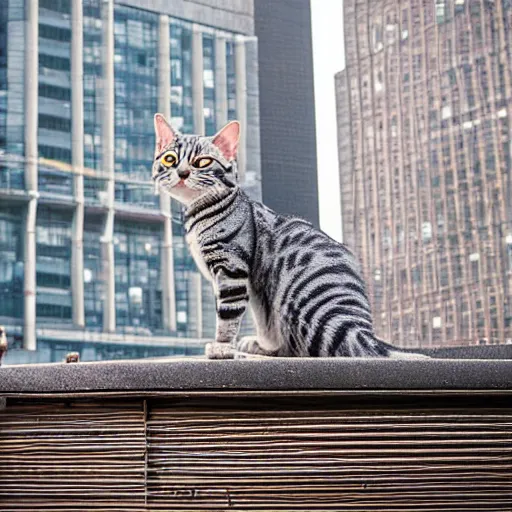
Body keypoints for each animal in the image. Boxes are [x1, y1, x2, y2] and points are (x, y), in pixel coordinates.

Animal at [152, 113, 428, 360]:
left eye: (202, 162)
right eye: (170, 159)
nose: (182, 173)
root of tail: (361, 331)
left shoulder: (231, 269)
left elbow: (228, 314)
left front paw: (221, 346)